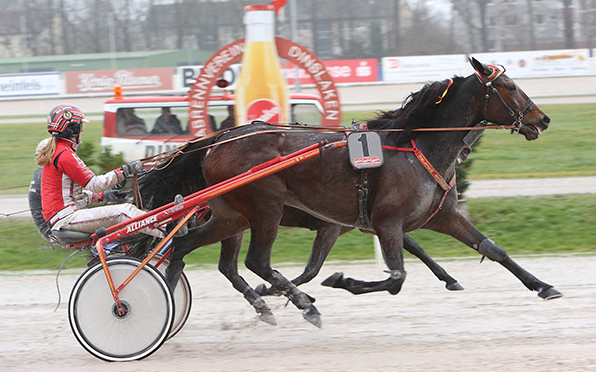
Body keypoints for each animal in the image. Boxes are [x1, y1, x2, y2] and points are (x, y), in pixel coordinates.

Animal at [140, 56, 560, 326]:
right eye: (509, 86)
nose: (542, 119)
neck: (416, 146)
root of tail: (216, 142)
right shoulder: (383, 222)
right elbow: (394, 277)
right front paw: (341, 282)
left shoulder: (441, 216)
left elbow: (493, 249)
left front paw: (543, 286)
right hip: (265, 208)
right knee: (255, 261)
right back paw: (301, 305)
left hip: (231, 216)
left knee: (183, 248)